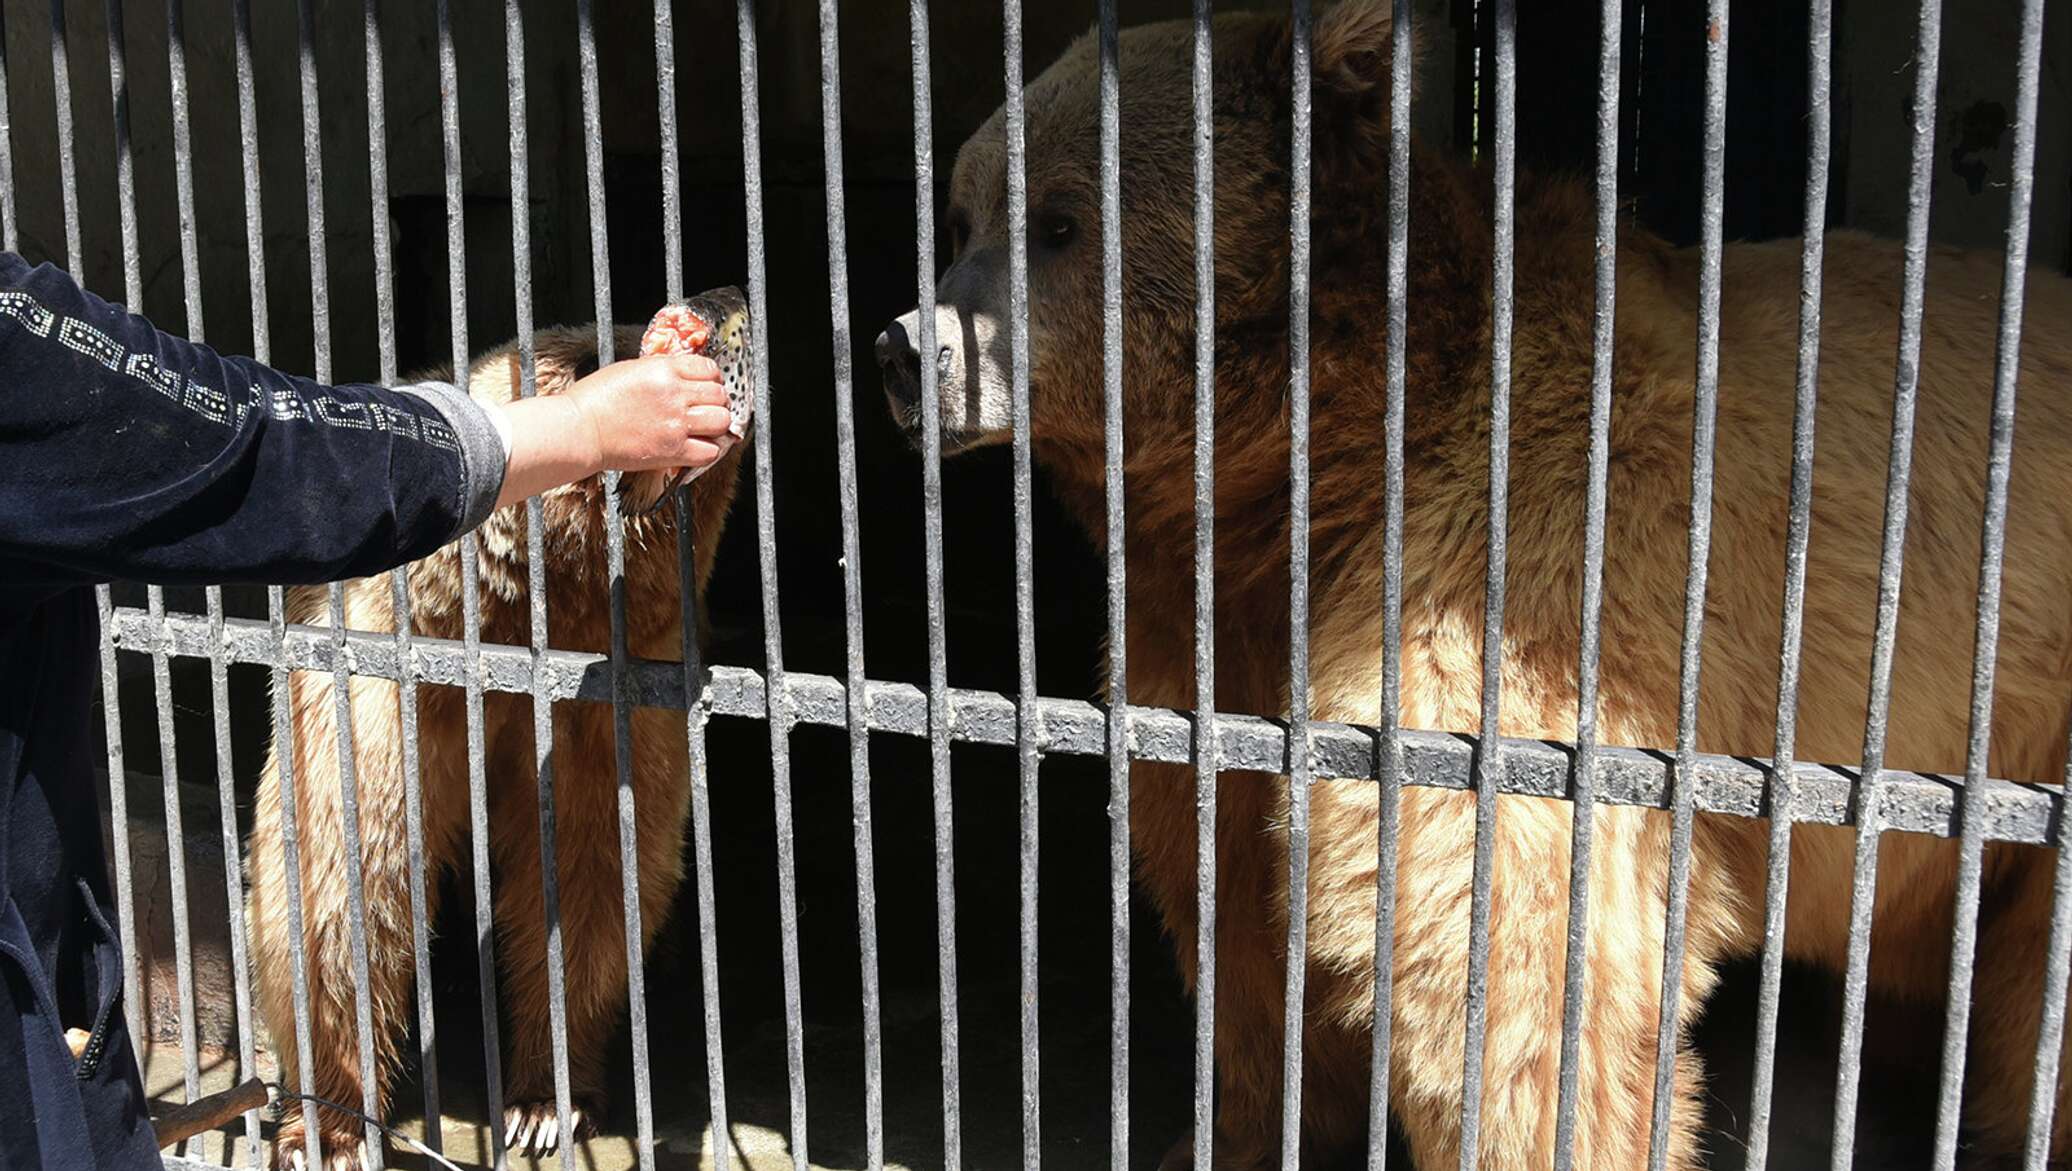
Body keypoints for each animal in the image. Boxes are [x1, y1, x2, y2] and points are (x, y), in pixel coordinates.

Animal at [248, 321, 754, 1168]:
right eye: (598, 354)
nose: (724, 303)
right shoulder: (379, 685)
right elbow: (342, 881)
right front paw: (333, 1127)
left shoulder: (605, 704)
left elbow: (588, 879)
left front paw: (546, 1101)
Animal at [878, 4, 2072, 1160]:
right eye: (962, 216)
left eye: (1060, 221)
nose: (905, 347)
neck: (1316, 475)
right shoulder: (1216, 635)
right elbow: (1234, 892)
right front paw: (1242, 1126)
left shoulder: (1531, 563)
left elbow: (1494, 939)